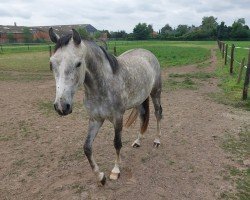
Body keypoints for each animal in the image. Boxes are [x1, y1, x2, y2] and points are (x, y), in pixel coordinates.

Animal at [49, 27, 162, 184]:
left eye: (78, 63)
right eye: (51, 63)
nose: (61, 106)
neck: (103, 86)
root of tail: (147, 53)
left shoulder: (118, 118)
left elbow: (117, 143)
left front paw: (115, 171)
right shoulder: (95, 119)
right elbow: (87, 147)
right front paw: (100, 176)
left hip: (156, 93)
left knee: (158, 114)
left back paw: (157, 140)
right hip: (139, 100)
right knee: (142, 116)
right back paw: (137, 141)